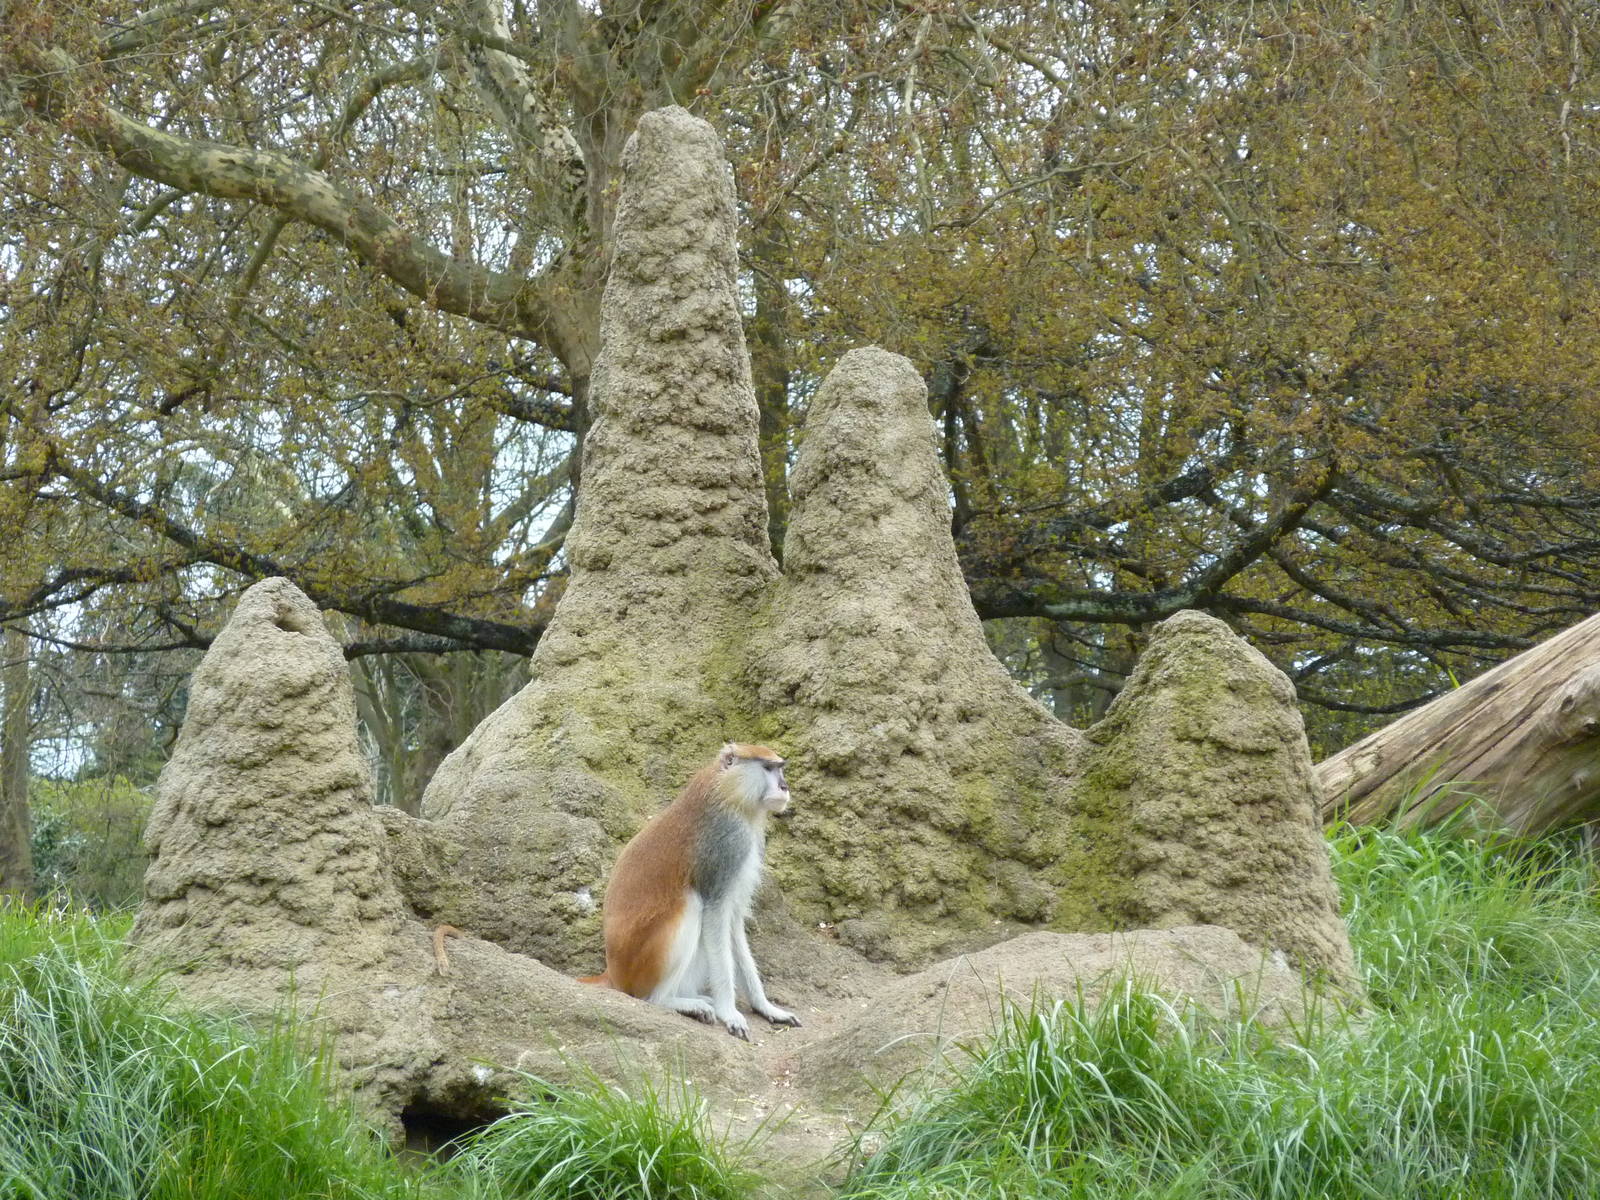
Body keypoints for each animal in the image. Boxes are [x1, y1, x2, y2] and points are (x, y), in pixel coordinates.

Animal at [579, 743, 802, 1040]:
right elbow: (716, 916)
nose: (784, 786)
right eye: (768, 768)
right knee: (691, 903)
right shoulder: (727, 844)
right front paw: (729, 1012)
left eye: (780, 768)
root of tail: (613, 974)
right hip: (643, 962)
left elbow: (733, 923)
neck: (727, 791)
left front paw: (766, 1007)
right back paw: (671, 1001)